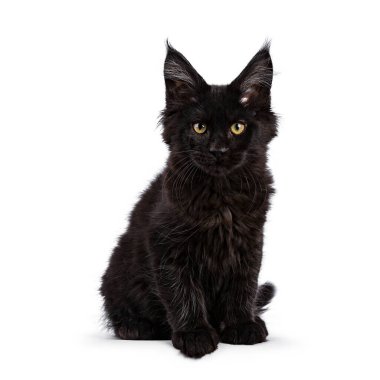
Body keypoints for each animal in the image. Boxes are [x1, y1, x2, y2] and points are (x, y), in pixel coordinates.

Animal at [101, 43, 278, 358]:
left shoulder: (249, 241)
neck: (220, 196)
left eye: (237, 127)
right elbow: (182, 291)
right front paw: (194, 335)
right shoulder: (166, 244)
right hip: (117, 273)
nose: (218, 150)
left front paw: (241, 325)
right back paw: (135, 327)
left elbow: (243, 284)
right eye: (199, 128)